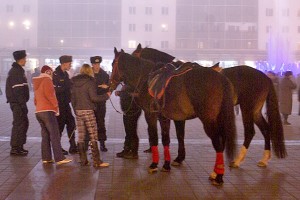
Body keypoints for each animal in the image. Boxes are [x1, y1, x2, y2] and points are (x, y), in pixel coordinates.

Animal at [110, 47, 237, 185]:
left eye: (112, 64)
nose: (110, 84)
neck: (145, 78)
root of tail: (221, 78)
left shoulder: (150, 115)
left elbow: (154, 137)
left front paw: (154, 164)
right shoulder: (164, 117)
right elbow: (166, 139)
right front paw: (166, 164)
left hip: (208, 121)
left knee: (218, 144)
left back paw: (219, 176)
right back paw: (216, 172)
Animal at [132, 43, 288, 167]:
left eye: (134, 54)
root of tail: (266, 77)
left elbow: (179, 135)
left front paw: (178, 158)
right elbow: (180, 135)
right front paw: (179, 157)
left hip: (247, 108)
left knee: (250, 132)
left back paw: (237, 160)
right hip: (255, 110)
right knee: (266, 129)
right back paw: (264, 159)